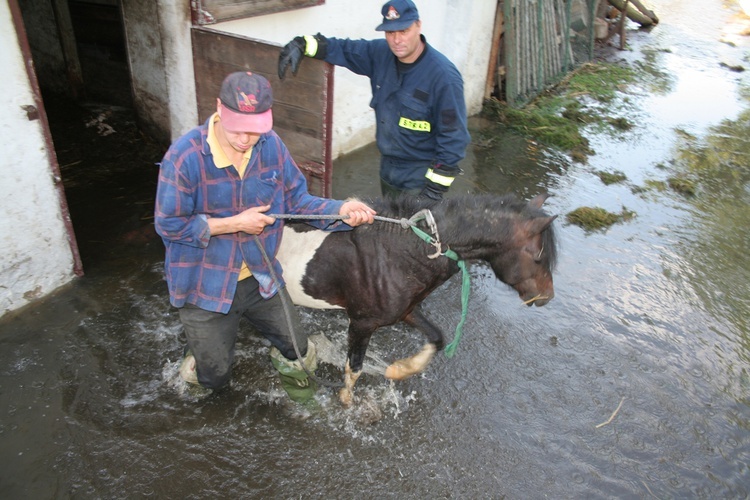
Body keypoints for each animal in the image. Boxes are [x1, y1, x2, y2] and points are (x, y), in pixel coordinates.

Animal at [276, 193, 560, 404]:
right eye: (538, 255)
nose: (547, 296)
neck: (398, 253)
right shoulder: (361, 323)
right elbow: (354, 368)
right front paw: (346, 400)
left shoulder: (407, 311)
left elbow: (437, 337)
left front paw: (399, 369)